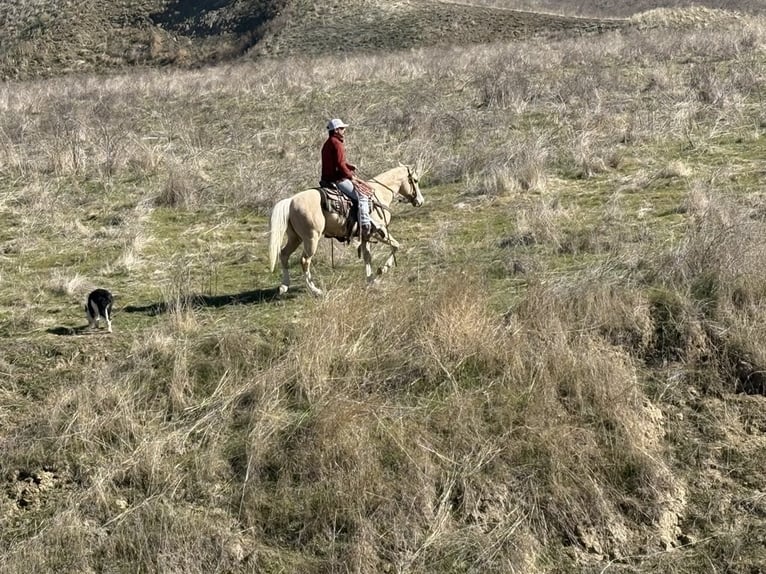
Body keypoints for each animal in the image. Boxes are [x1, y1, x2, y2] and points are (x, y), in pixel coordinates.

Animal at [268, 163, 426, 294]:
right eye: (415, 180)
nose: (420, 201)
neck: (379, 193)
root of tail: (291, 201)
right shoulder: (380, 232)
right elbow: (396, 246)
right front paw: (382, 270)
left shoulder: (366, 236)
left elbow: (367, 256)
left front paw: (370, 280)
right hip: (311, 238)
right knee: (304, 260)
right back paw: (315, 290)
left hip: (295, 238)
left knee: (284, 254)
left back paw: (284, 286)